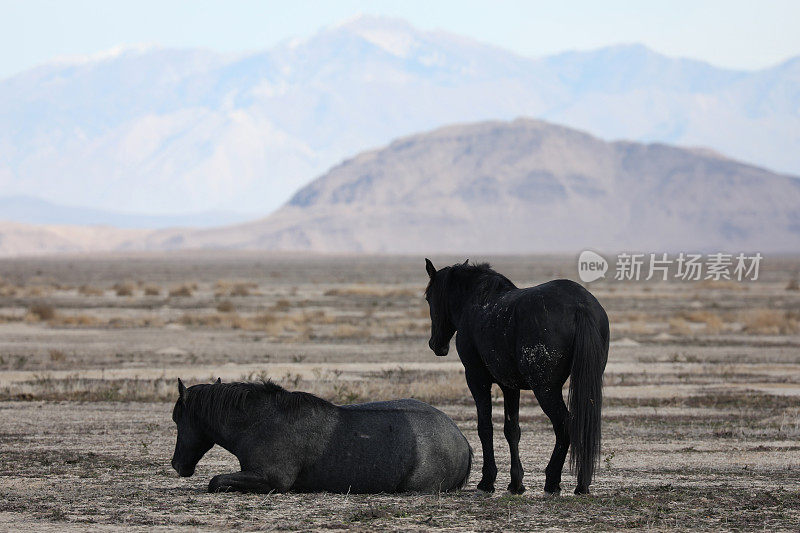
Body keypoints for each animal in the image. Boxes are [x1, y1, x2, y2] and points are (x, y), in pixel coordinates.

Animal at [169, 378, 468, 494]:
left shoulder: (273, 480)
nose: (176, 464)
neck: (261, 421)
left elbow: (216, 481)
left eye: (177, 419)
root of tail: (462, 441)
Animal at [424, 258, 608, 494]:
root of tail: (580, 306)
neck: (476, 303)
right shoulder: (510, 386)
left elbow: (485, 427)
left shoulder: (477, 379)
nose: (436, 345)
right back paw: (582, 483)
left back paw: (553, 480)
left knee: (565, 425)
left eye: (429, 297)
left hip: (546, 389)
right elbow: (512, 430)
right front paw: (516, 482)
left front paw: (487, 480)